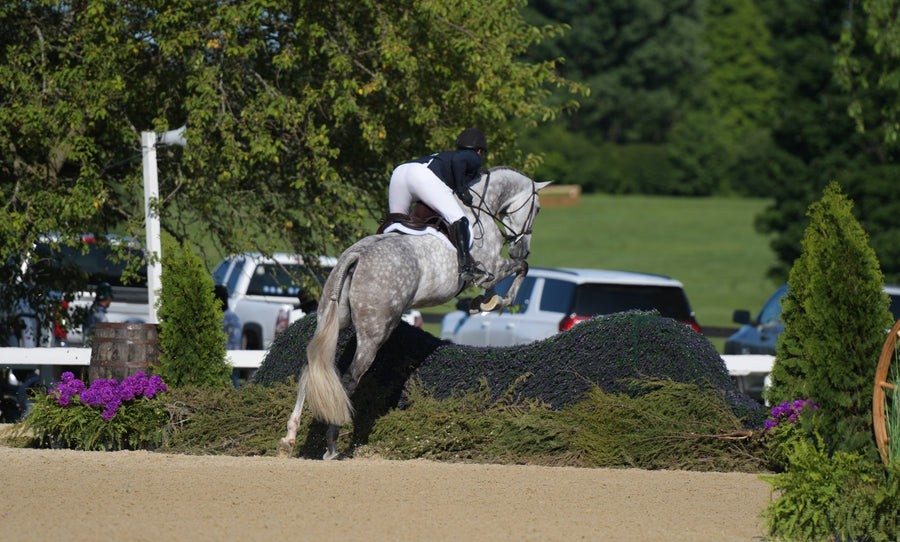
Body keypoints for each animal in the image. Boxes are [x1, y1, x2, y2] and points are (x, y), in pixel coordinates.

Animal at [278, 167, 552, 460]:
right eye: (537, 208)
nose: (522, 247)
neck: (481, 206)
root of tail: (356, 255)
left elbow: (505, 276)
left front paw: (483, 302)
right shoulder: (494, 267)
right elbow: (520, 269)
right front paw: (495, 302)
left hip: (331, 318)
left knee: (309, 366)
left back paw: (290, 437)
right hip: (375, 332)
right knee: (350, 377)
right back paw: (332, 443)